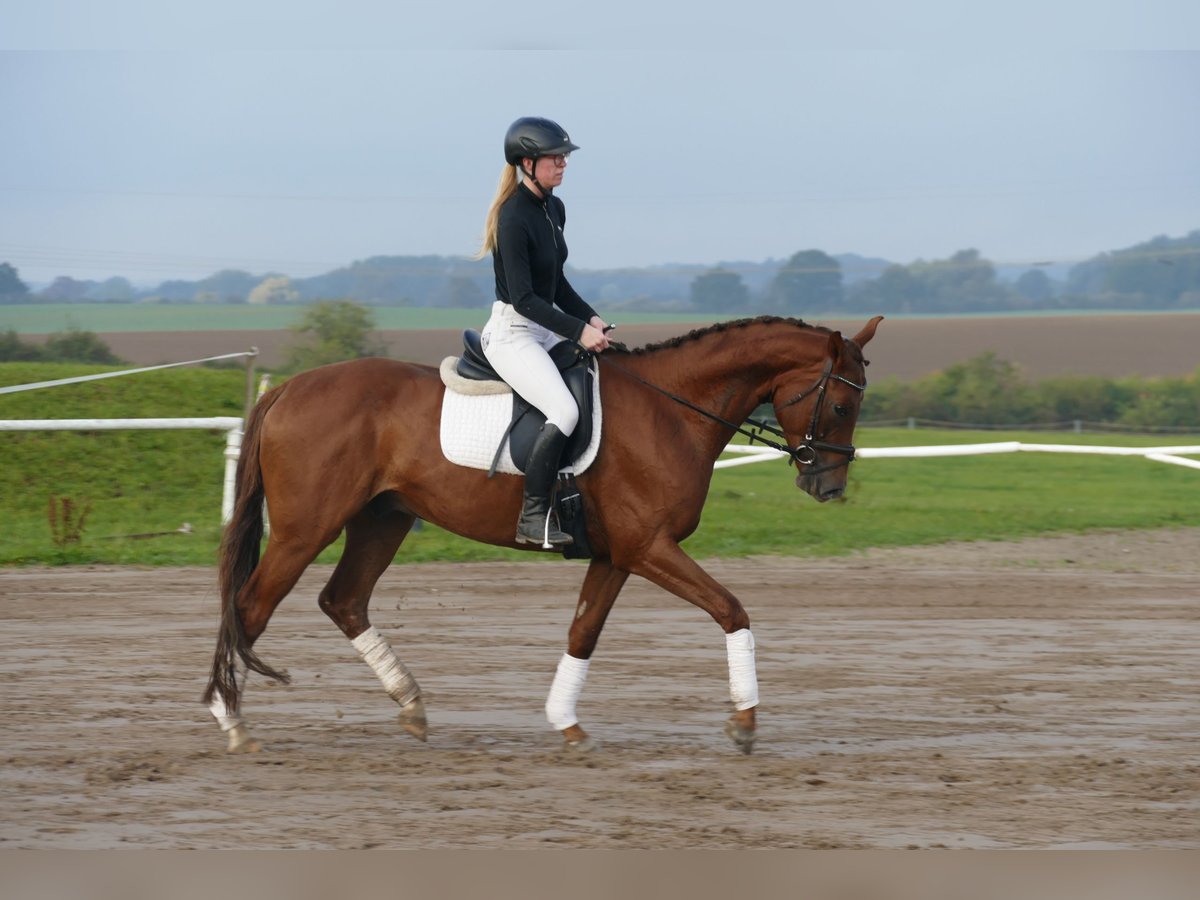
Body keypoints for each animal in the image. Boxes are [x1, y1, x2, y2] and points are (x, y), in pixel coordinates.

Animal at [204, 314, 883, 753]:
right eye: (842, 405)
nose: (828, 486)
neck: (672, 408)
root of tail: (289, 388)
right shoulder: (650, 547)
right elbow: (731, 609)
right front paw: (744, 723)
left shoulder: (618, 555)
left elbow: (583, 632)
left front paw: (566, 724)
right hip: (305, 529)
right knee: (251, 604)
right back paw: (230, 721)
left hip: (382, 519)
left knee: (342, 600)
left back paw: (412, 706)